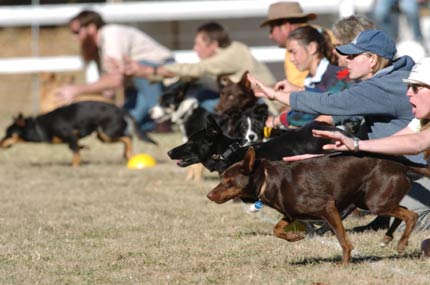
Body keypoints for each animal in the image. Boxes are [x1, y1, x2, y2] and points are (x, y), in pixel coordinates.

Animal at [0, 101, 156, 165]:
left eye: (8, 133)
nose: (0, 144)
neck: (39, 126)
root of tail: (120, 109)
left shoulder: (71, 135)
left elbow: (75, 154)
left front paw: (75, 166)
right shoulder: (72, 139)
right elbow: (76, 148)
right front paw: (85, 148)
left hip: (106, 133)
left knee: (128, 137)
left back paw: (129, 154)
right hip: (101, 135)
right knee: (126, 138)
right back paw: (126, 155)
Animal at [208, 146, 430, 264]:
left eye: (228, 181)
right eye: (222, 178)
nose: (209, 195)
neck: (268, 179)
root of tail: (401, 164)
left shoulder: (328, 207)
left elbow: (343, 240)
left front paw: (344, 264)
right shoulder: (290, 214)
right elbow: (276, 229)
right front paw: (295, 237)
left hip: (375, 202)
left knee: (411, 215)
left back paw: (401, 243)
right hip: (368, 199)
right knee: (403, 212)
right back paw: (387, 238)